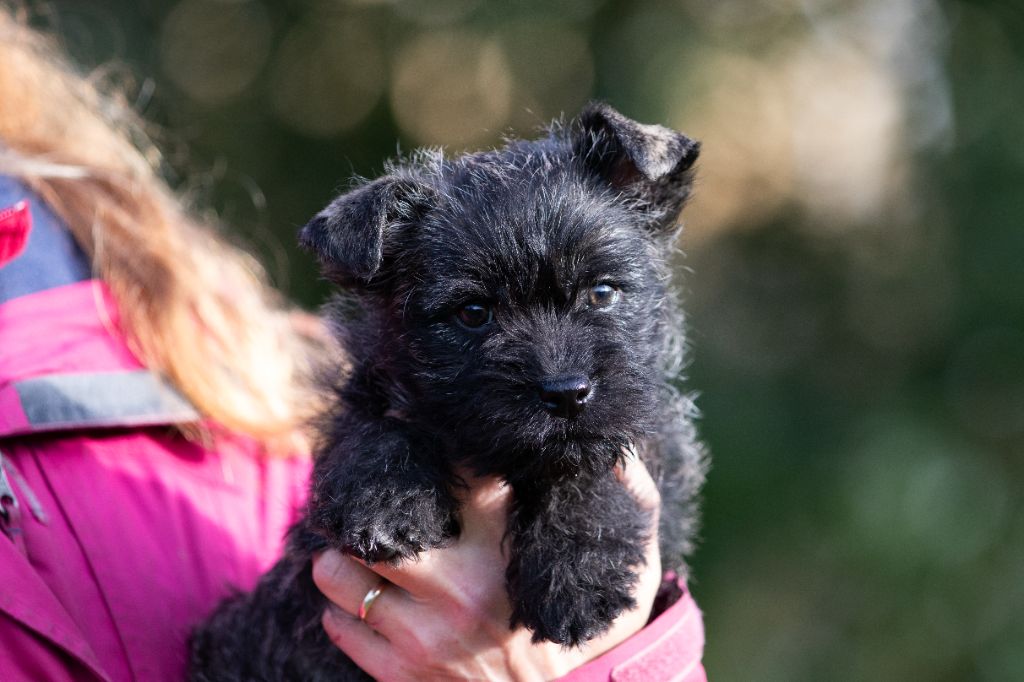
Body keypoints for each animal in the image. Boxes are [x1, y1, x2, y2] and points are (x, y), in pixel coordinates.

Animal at [190, 102, 704, 679]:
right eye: (473, 312)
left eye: (602, 292)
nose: (566, 392)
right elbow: (374, 426)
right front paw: (386, 502)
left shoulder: (654, 444)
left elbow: (588, 466)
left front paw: (578, 576)